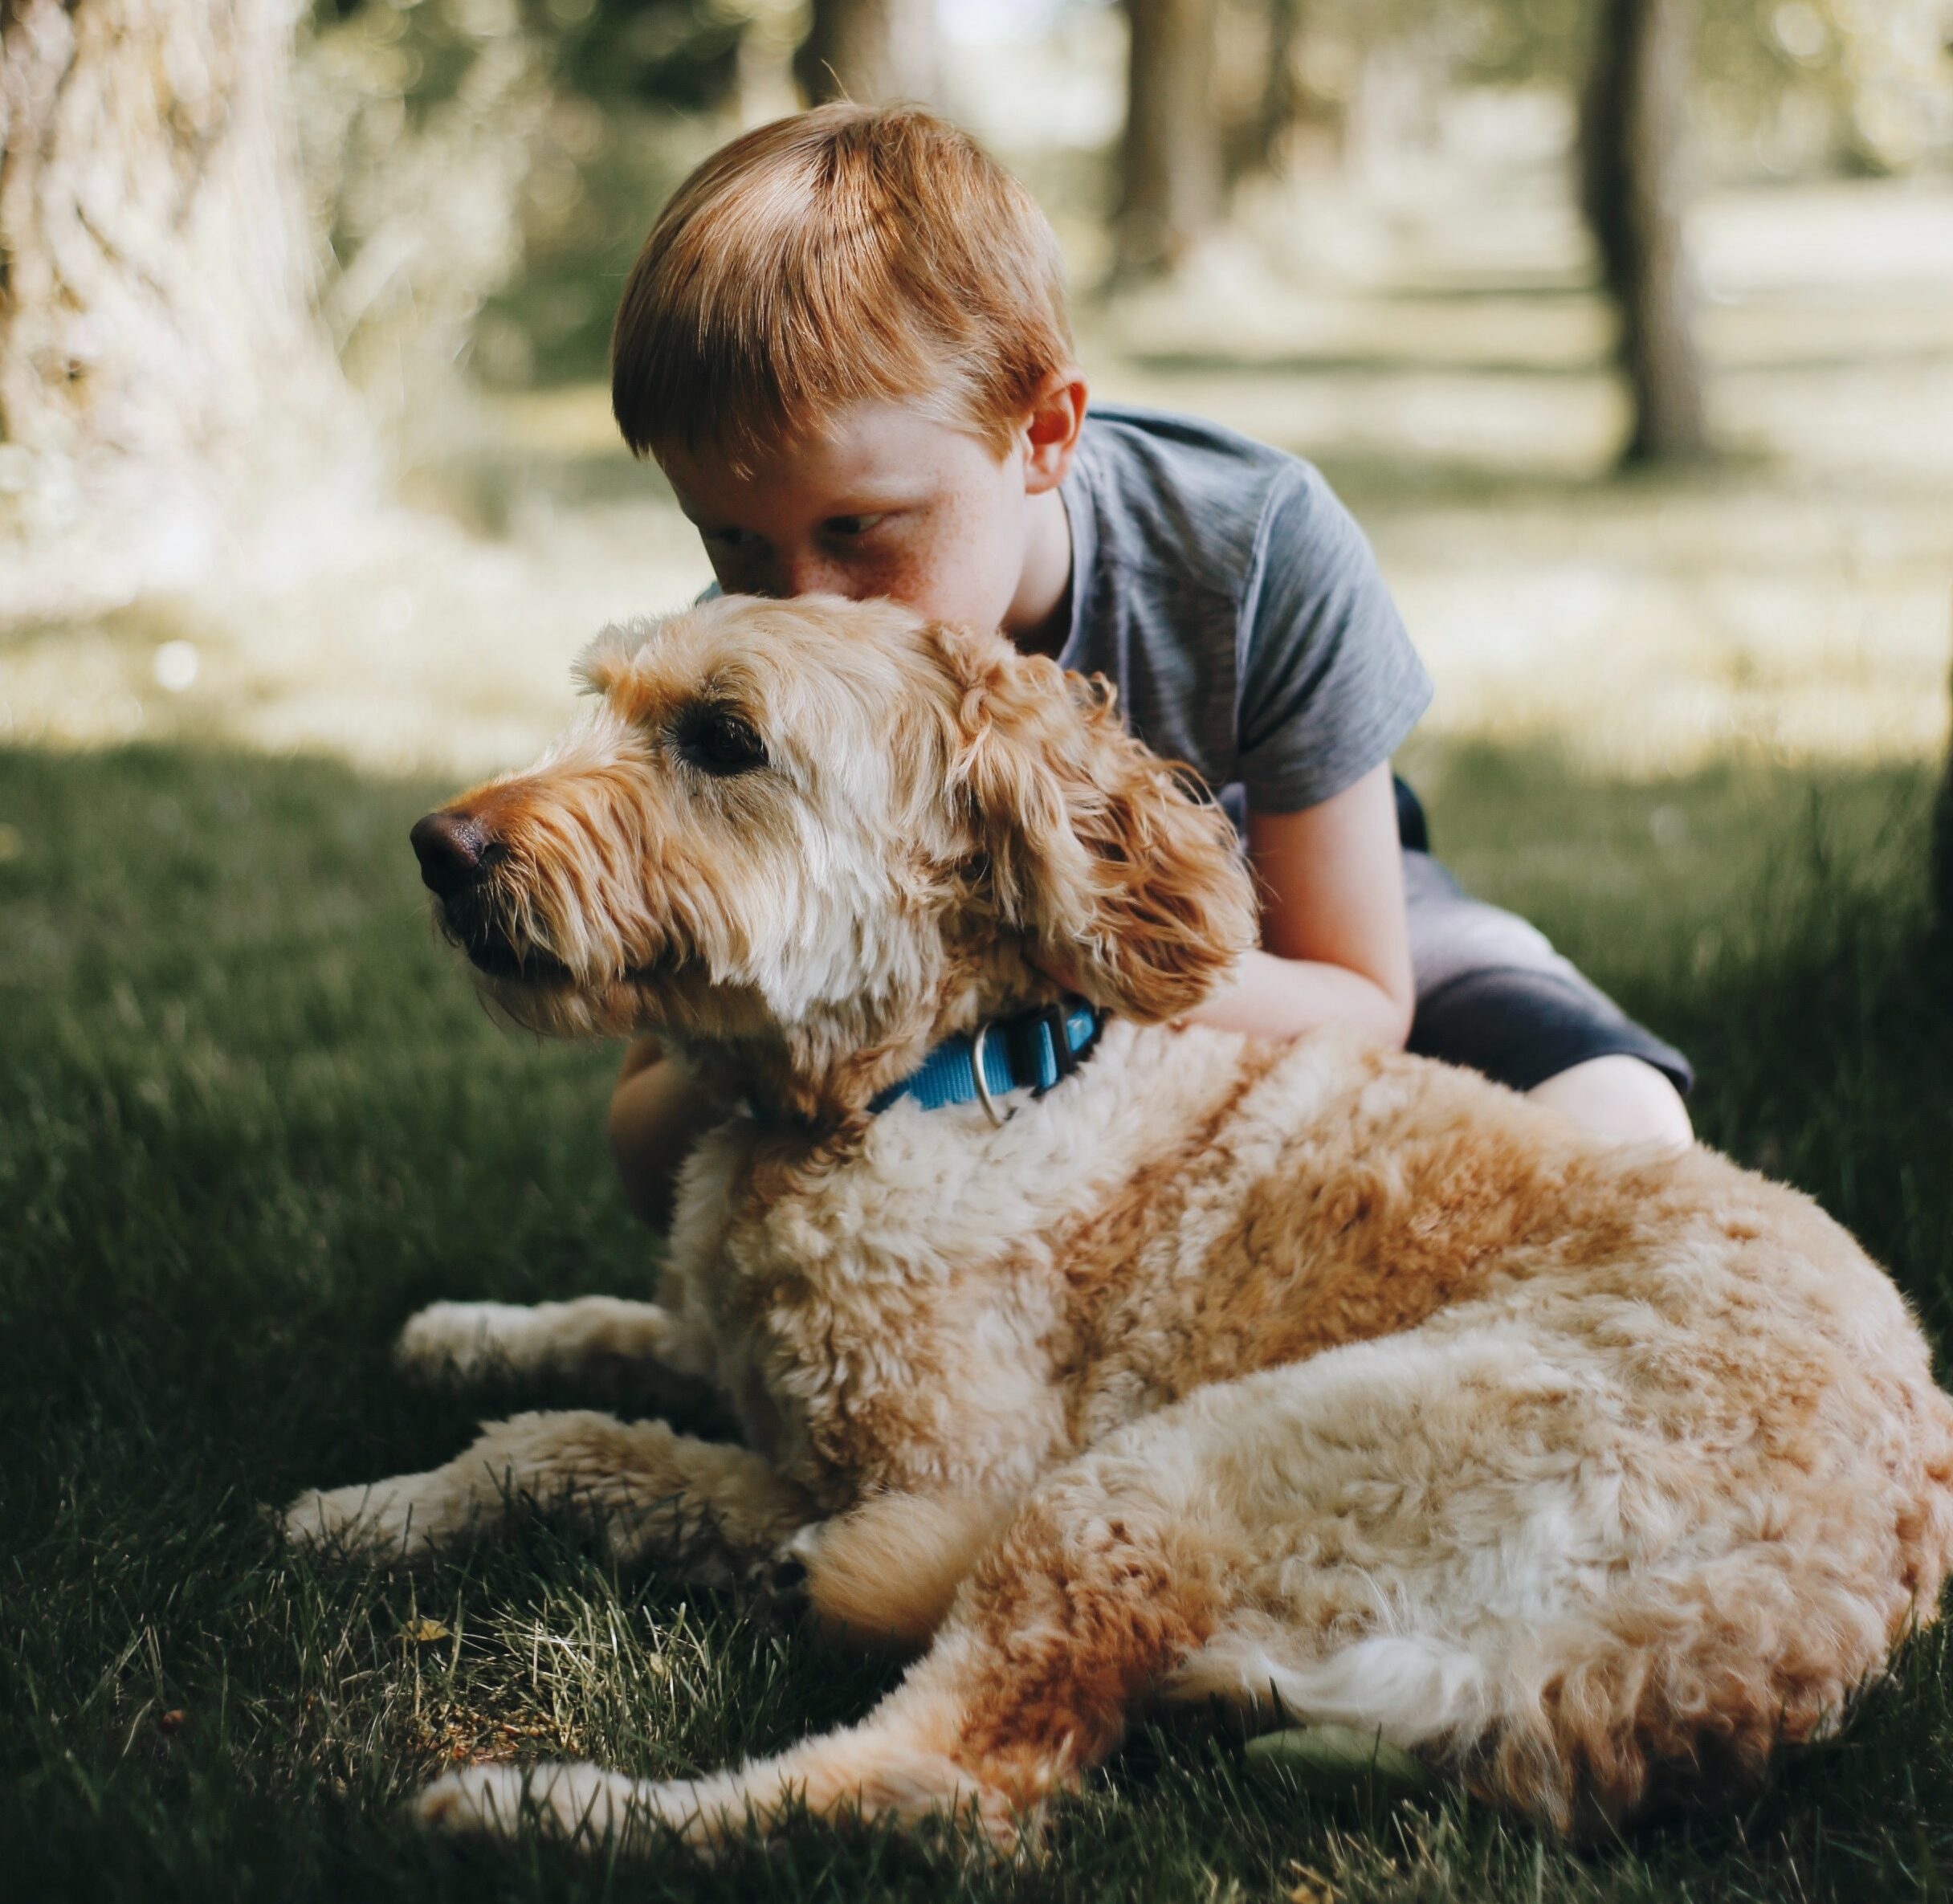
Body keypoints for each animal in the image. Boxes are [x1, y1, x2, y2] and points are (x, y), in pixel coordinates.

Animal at [283, 593, 1953, 1843]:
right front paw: (447, 1367)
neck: (926, 1082)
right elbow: (584, 1371)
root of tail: (1774, 1636)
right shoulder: (732, 1350)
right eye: (613, 699)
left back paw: (546, 1809)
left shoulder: (943, 1470)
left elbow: (589, 1448)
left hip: (1162, 1480)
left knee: (935, 1786)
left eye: (724, 739)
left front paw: (372, 1507)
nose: (441, 847)